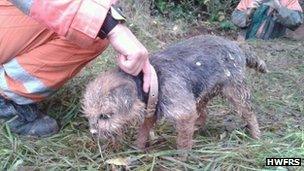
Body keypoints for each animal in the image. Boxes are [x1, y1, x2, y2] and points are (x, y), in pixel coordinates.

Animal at [82, 34, 268, 151]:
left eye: (105, 115)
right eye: (89, 116)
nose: (92, 133)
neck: (153, 81)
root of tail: (237, 46)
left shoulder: (184, 112)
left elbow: (183, 143)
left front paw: (181, 159)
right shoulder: (151, 113)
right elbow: (143, 133)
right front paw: (136, 150)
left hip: (236, 91)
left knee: (250, 114)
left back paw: (257, 138)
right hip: (201, 96)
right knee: (204, 114)